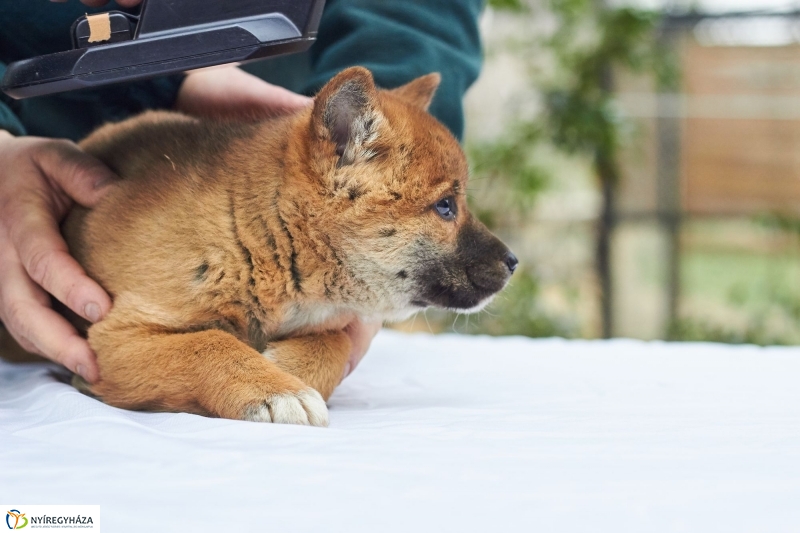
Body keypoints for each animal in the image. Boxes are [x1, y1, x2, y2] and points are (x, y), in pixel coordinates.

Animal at [62, 66, 516, 426]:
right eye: (445, 206)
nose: (513, 262)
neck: (254, 243)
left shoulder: (328, 324)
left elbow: (336, 343)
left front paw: (286, 368)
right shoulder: (114, 338)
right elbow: (207, 344)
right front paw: (274, 390)